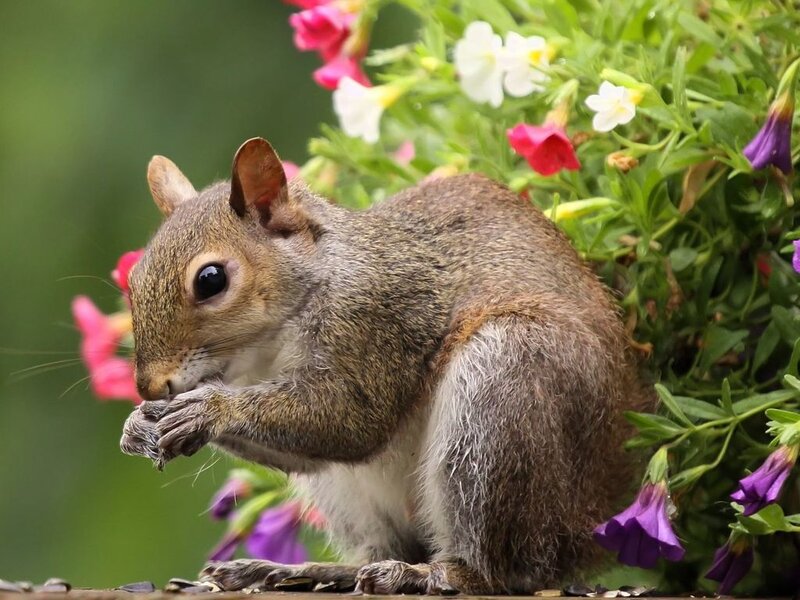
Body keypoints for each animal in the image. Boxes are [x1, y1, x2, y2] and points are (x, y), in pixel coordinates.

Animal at [120, 137, 650, 595]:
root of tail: (586, 520)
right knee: (386, 547)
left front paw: (208, 411)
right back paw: (303, 571)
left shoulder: (378, 320)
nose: (149, 386)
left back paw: (432, 574)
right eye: (134, 277)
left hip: (502, 394)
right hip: (354, 496)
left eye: (211, 279)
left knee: (506, 570)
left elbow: (352, 421)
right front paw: (138, 425)